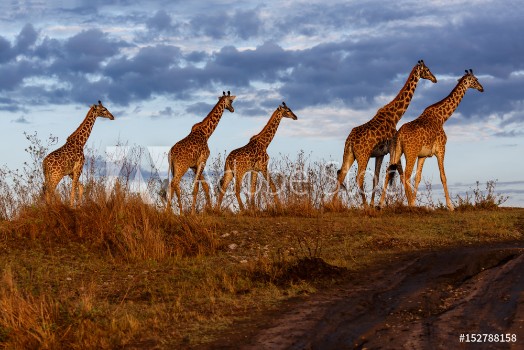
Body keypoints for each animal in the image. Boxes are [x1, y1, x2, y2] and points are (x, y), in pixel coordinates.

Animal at [332, 60, 438, 208]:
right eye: (427, 70)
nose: (435, 79)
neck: (395, 116)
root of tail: (350, 141)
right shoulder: (393, 149)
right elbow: (401, 175)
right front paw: (410, 203)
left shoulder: (380, 154)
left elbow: (376, 177)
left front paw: (374, 204)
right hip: (363, 155)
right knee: (359, 178)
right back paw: (364, 206)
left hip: (349, 154)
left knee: (341, 174)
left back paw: (332, 204)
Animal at [378, 69, 486, 211]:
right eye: (475, 79)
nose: (482, 88)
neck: (442, 117)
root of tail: (399, 135)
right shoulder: (441, 149)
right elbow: (443, 176)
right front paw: (450, 206)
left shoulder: (423, 155)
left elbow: (418, 177)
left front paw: (414, 201)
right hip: (410, 153)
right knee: (406, 175)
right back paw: (408, 205)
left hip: (395, 152)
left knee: (388, 173)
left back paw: (380, 205)